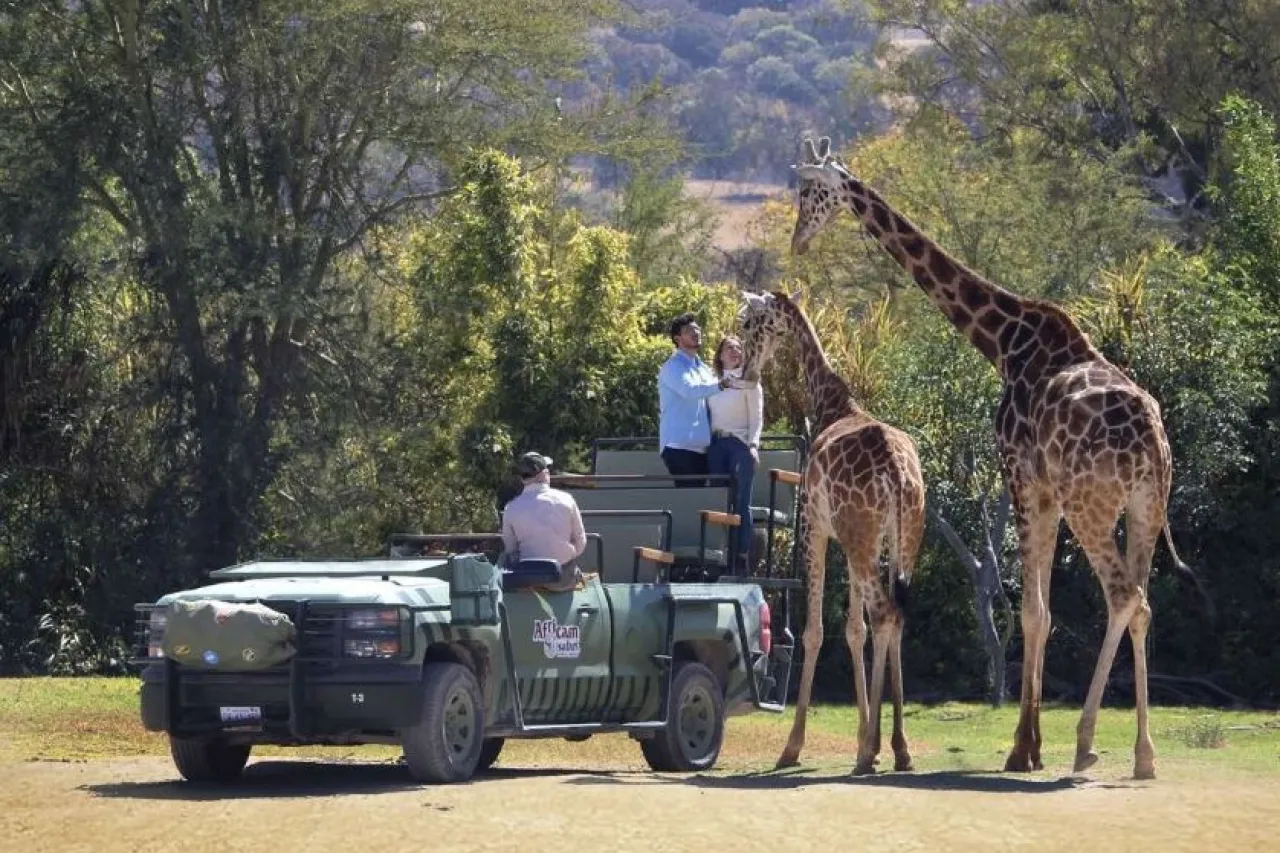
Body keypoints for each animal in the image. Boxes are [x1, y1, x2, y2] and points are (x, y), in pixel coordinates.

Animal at [737, 289, 926, 773]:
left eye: (747, 322)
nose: (745, 371)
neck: (831, 404)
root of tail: (897, 472)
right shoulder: (860, 538)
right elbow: (854, 630)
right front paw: (867, 735)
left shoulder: (817, 530)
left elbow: (815, 630)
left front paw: (792, 745)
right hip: (903, 535)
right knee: (896, 615)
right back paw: (898, 748)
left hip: (861, 535)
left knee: (884, 612)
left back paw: (869, 752)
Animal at [783, 134, 1213, 778]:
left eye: (810, 190)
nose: (798, 240)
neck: (1003, 342)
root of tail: (1151, 442)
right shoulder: (1045, 489)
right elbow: (1044, 612)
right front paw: (1030, 746)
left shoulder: (1021, 475)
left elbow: (1032, 610)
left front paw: (1022, 748)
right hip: (1144, 505)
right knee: (1143, 602)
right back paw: (1143, 755)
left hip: (1092, 505)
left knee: (1122, 597)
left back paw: (1086, 744)